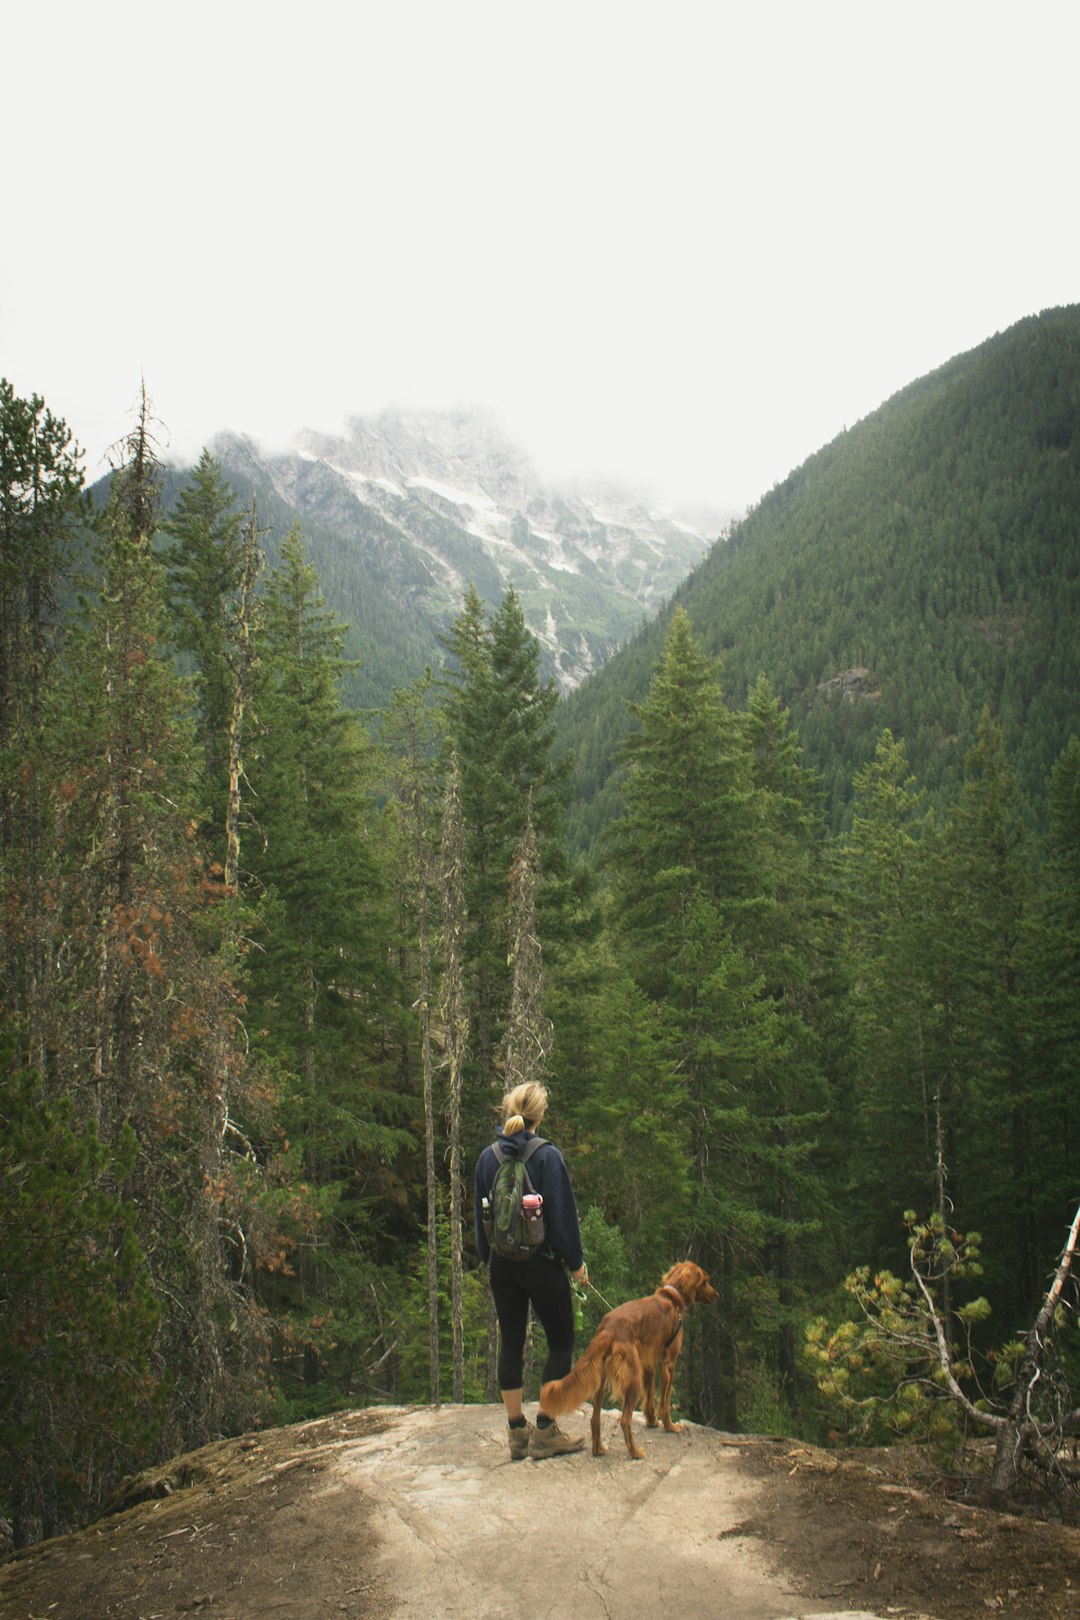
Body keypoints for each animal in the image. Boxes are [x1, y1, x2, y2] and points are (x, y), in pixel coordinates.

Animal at [540, 1257, 718, 1464]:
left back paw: (598, 1449)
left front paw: (651, 1421)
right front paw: (670, 1426)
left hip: (602, 1380)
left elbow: (650, 1397)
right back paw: (635, 1452)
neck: (672, 1298)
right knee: (625, 1420)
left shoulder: (649, 1364)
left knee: (595, 1418)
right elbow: (665, 1401)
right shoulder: (669, 1363)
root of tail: (608, 1328)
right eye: (705, 1281)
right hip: (632, 1378)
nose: (717, 1295)